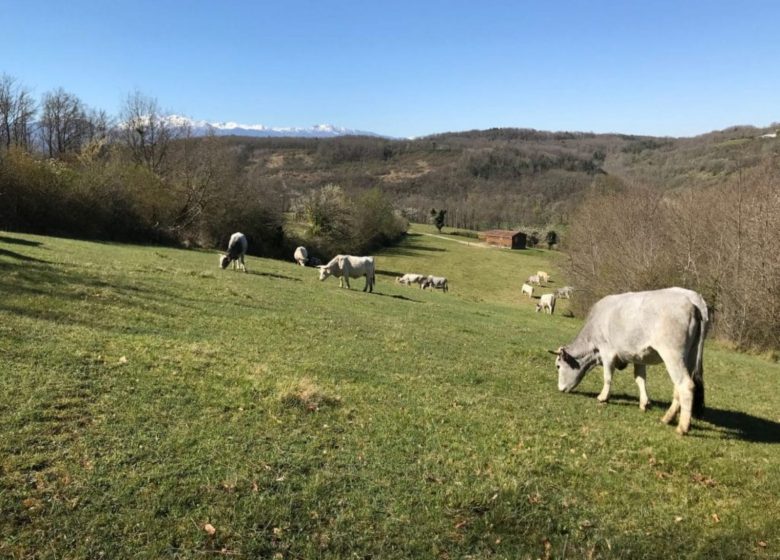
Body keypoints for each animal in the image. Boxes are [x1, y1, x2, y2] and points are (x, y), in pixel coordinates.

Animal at [548, 286, 708, 436]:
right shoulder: (639, 357)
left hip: (672, 354)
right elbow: (640, 379)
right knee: (677, 387)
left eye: (558, 366)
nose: (560, 388)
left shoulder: (607, 352)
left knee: (685, 385)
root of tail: (693, 298)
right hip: (689, 356)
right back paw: (668, 418)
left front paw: (603, 397)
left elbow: (607, 377)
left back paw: (682, 427)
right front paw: (644, 403)